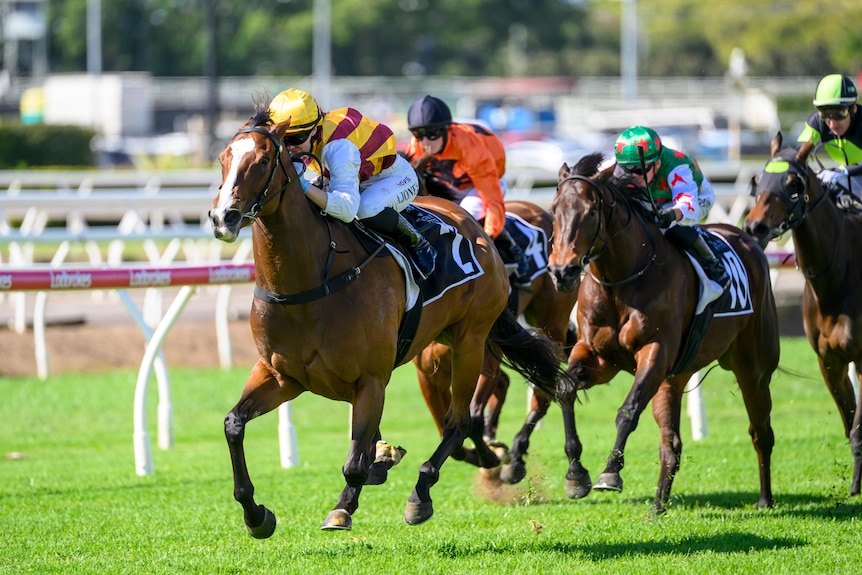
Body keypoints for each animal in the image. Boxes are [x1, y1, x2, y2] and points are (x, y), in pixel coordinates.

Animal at [413, 200, 579, 483]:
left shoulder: (481, 358)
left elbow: (474, 418)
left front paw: (492, 455)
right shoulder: (428, 374)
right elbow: (451, 427)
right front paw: (483, 452)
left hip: (552, 319)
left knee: (546, 387)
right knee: (512, 382)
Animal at [547, 152, 780, 514]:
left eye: (591, 211)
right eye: (554, 208)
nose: (562, 271)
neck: (622, 280)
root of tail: (748, 240)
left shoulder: (654, 352)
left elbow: (627, 411)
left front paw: (610, 473)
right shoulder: (598, 356)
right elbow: (565, 389)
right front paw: (575, 475)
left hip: (753, 368)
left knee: (761, 431)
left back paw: (765, 499)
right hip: (674, 377)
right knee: (672, 443)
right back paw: (658, 504)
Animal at [743, 131, 862, 497]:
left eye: (793, 184)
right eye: (758, 180)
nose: (754, 227)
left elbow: (858, 429)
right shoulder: (829, 362)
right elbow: (848, 423)